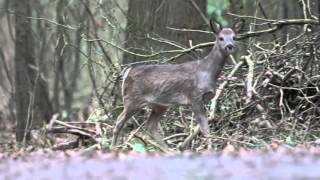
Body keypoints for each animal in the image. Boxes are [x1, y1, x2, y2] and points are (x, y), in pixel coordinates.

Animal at [110, 18, 245, 150]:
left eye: (234, 37)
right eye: (221, 38)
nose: (229, 46)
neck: (207, 72)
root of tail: (128, 71)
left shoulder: (205, 99)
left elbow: (202, 125)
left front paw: (182, 145)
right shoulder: (194, 95)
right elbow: (205, 128)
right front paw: (210, 149)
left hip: (160, 104)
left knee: (151, 127)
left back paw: (168, 150)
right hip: (132, 99)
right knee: (119, 121)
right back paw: (113, 148)